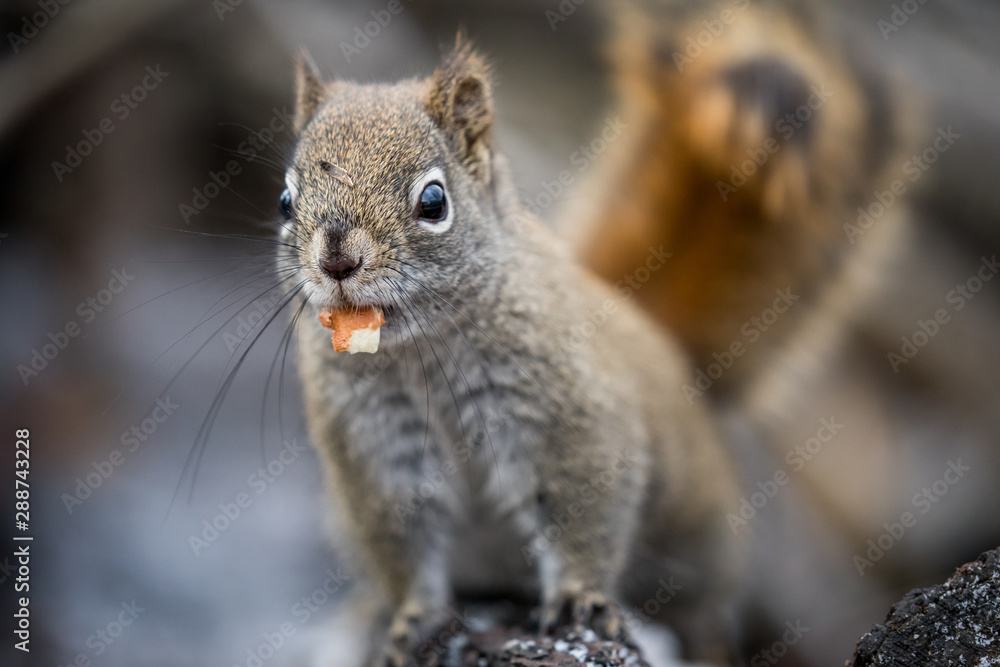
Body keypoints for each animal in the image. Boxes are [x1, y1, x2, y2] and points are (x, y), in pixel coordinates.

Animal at [280, 38, 742, 665]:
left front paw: (578, 600)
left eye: (434, 200)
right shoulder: (377, 446)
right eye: (285, 201)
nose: (336, 260)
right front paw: (412, 618)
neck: (420, 350)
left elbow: (583, 516)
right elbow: (404, 547)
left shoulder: (570, 418)